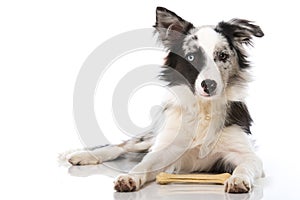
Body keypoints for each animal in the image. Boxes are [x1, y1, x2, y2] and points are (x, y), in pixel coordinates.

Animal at [67, 7, 264, 193]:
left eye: (222, 56)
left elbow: (245, 166)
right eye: (191, 57)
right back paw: (84, 156)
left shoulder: (246, 153)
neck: (203, 108)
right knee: (123, 146)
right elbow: (144, 164)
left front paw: (238, 179)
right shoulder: (166, 148)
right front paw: (129, 177)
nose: (210, 85)